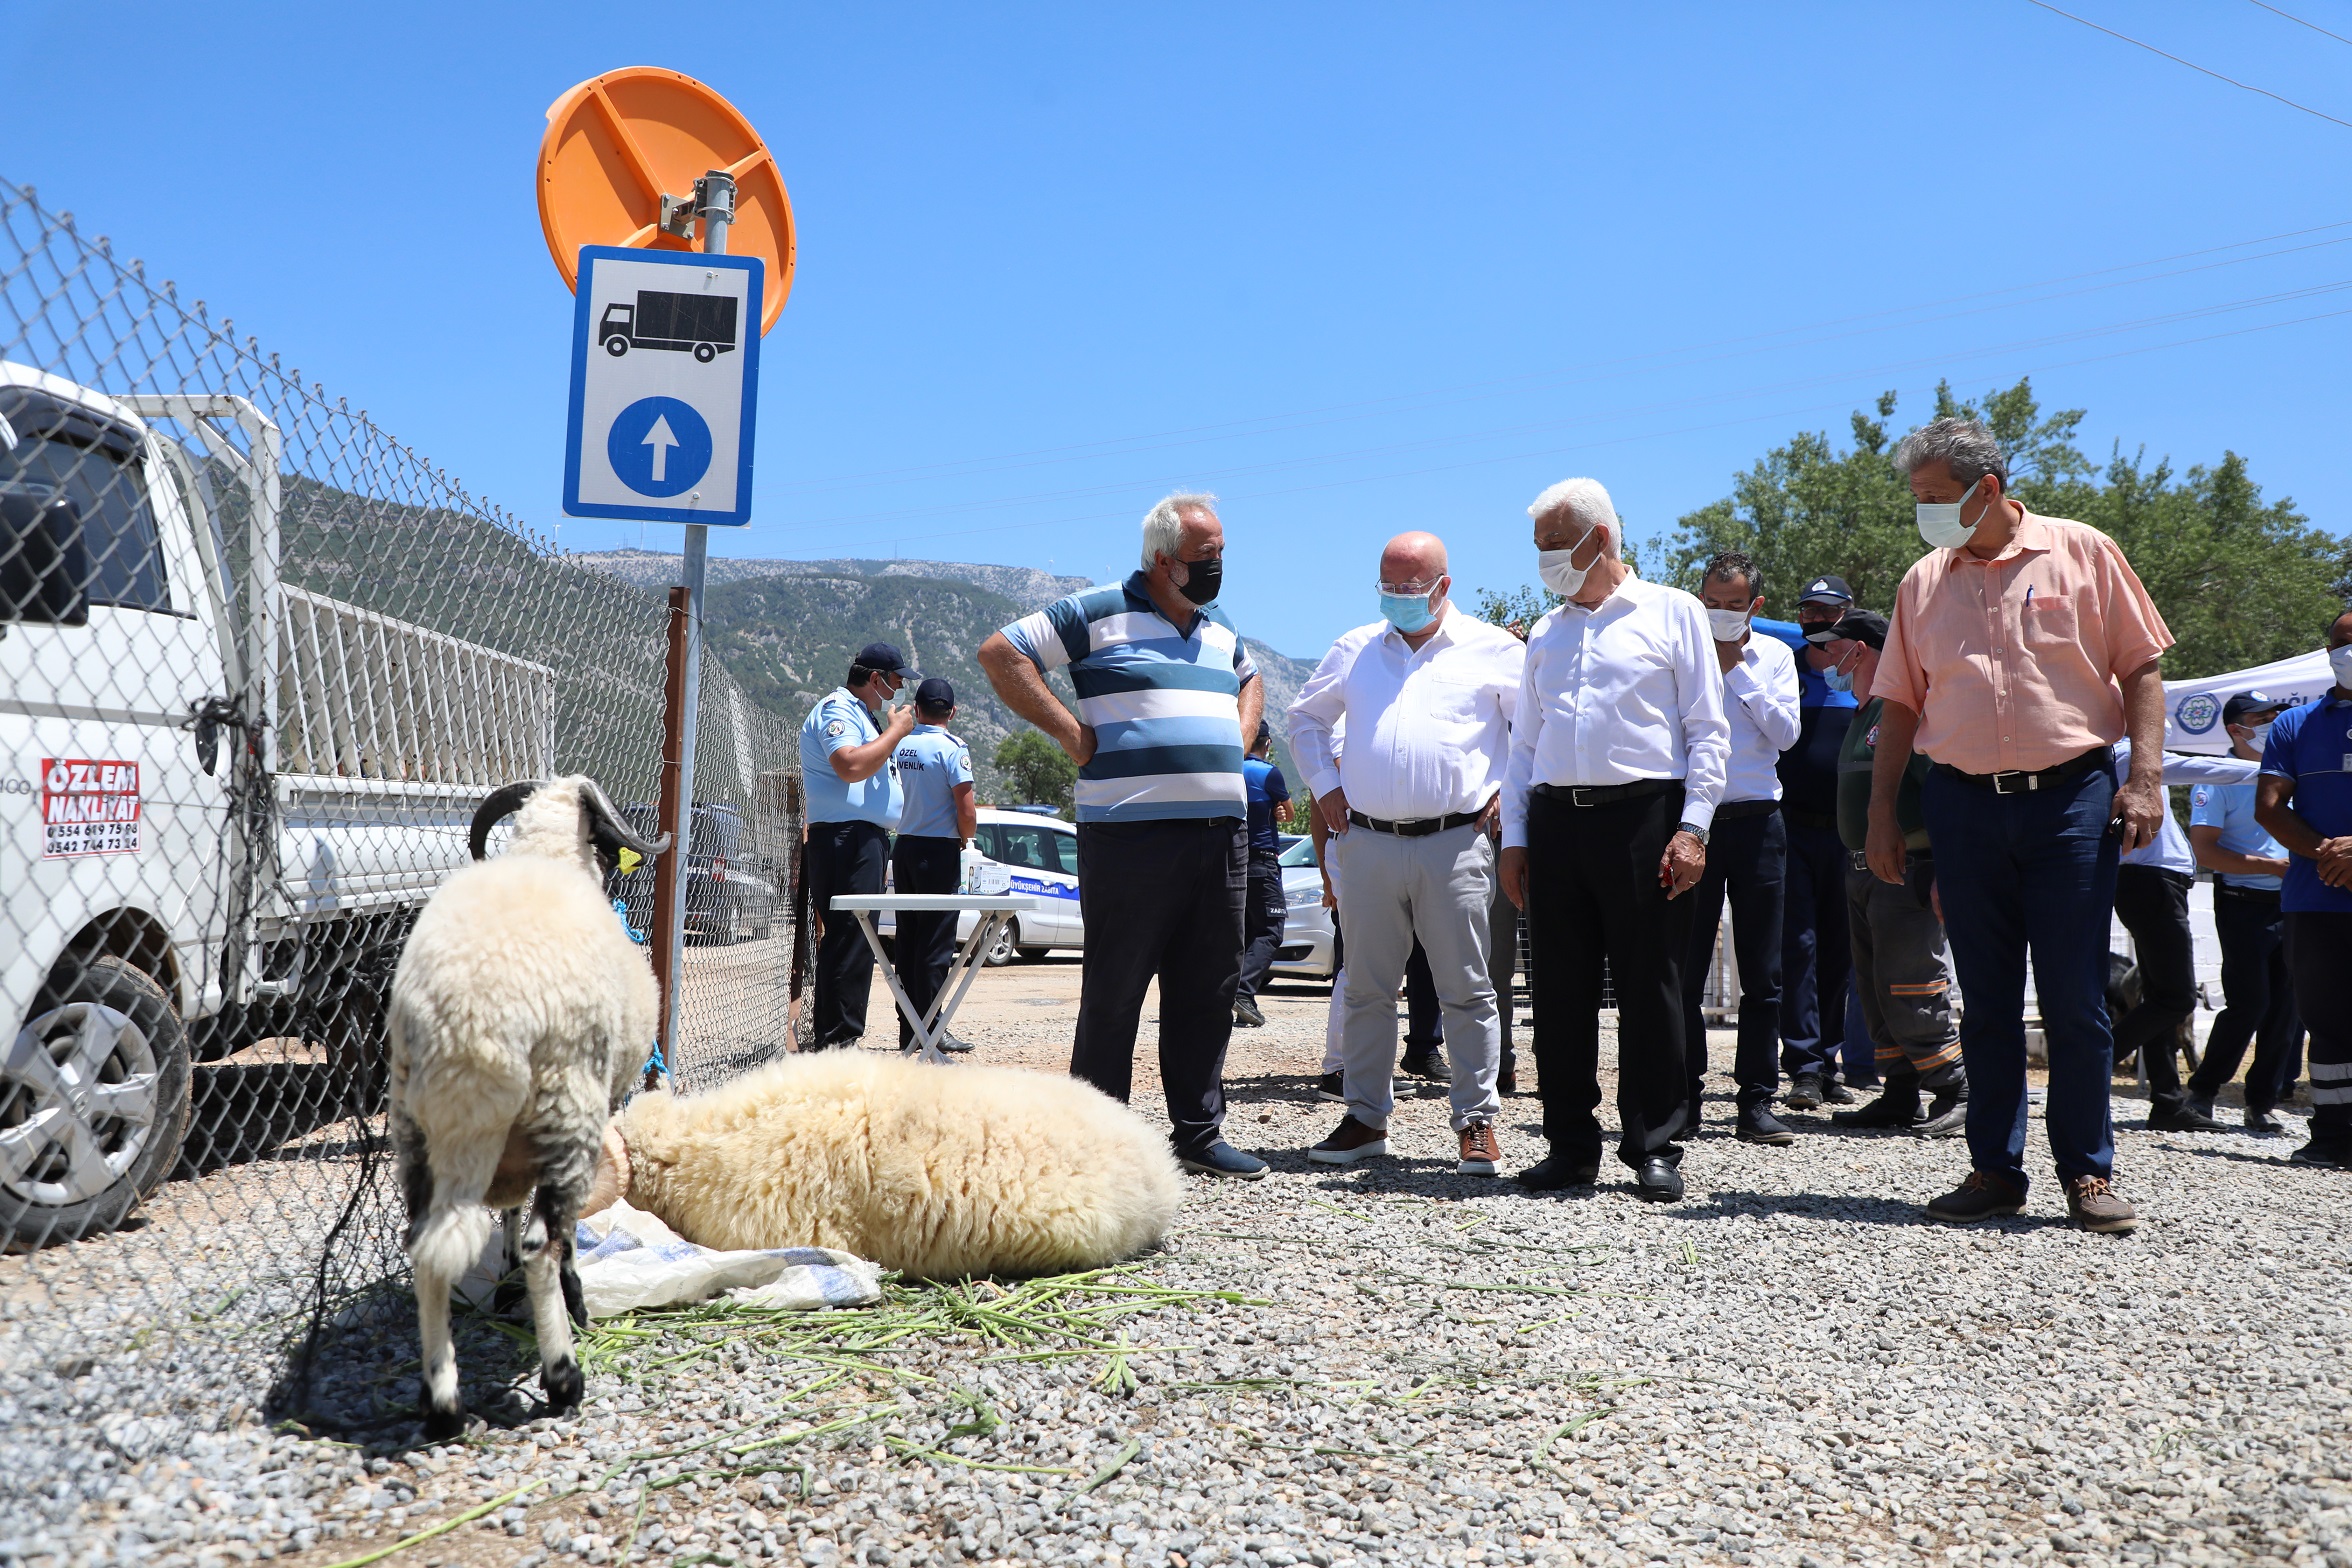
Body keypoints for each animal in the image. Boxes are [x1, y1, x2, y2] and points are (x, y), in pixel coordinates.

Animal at [383, 771, 663, 1438]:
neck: (550, 855)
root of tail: (468, 1023)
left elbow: (509, 1207)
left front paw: (505, 1262)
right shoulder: (602, 1101)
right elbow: (559, 1231)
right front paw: (572, 1299)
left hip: (414, 1131)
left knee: (426, 1251)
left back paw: (443, 1405)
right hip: (568, 1104)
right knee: (546, 1241)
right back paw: (563, 1377)